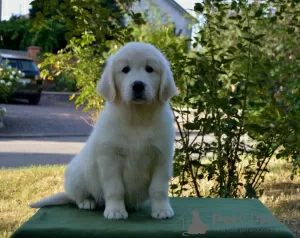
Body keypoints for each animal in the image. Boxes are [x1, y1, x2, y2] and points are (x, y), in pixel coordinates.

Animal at [29, 41, 178, 220]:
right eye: (125, 69)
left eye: (149, 69)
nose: (138, 85)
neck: (137, 117)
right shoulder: (110, 158)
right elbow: (115, 189)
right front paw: (115, 211)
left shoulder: (162, 157)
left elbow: (158, 189)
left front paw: (162, 210)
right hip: (76, 174)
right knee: (76, 196)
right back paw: (87, 202)